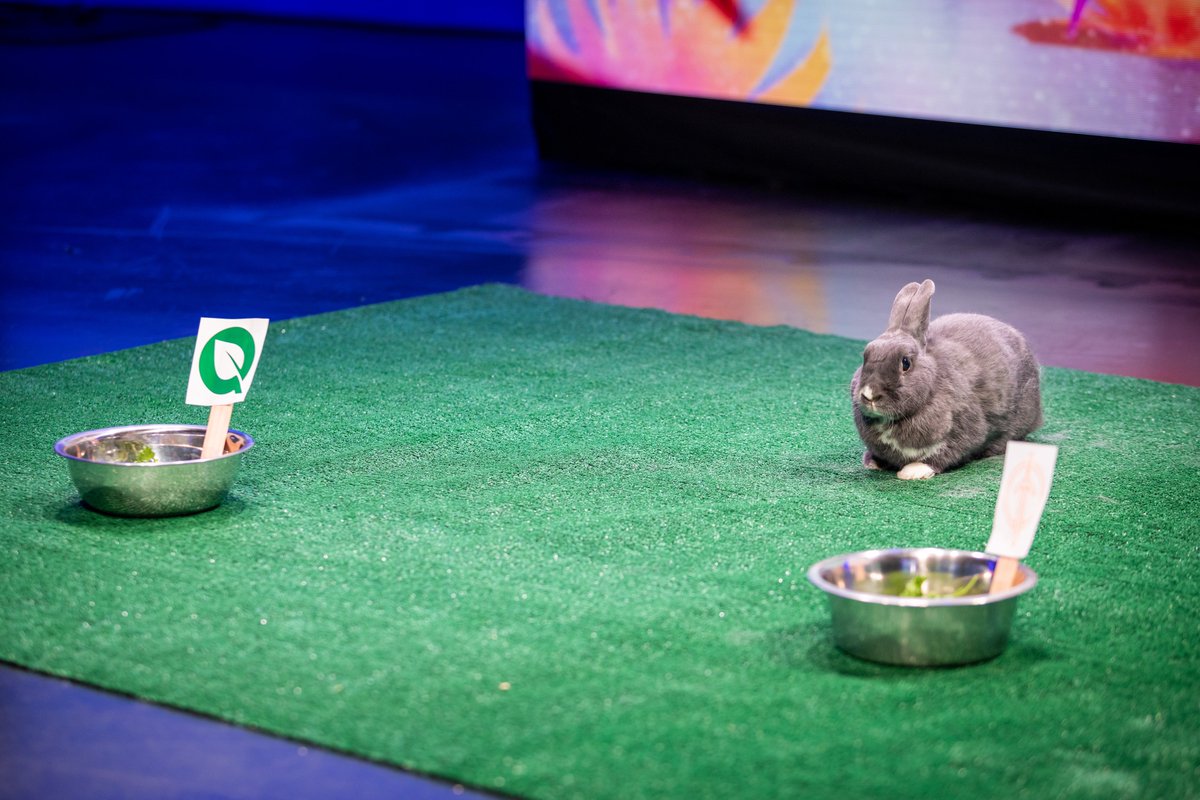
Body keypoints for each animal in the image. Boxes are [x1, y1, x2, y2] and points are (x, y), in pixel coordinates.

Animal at [850, 279, 1043, 480]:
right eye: (866, 356)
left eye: (905, 363)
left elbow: (945, 454)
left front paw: (912, 471)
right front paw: (872, 462)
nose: (869, 395)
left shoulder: (965, 431)